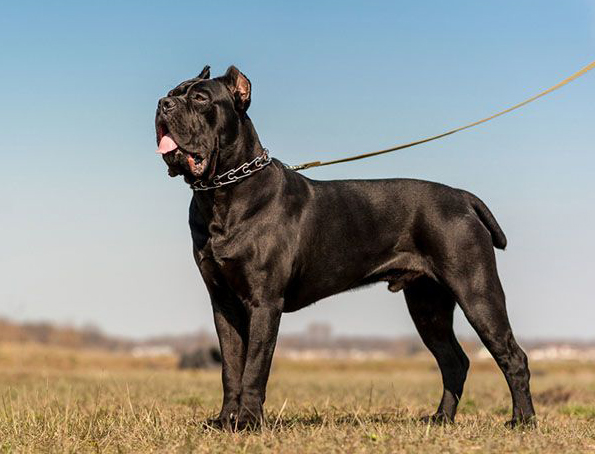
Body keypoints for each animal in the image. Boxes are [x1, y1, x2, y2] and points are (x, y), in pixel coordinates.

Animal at [156, 63, 536, 430]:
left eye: (201, 98)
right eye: (173, 91)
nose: (163, 103)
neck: (223, 192)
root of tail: (461, 196)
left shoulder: (264, 302)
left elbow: (254, 368)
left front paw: (248, 422)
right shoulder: (224, 304)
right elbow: (230, 368)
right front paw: (225, 421)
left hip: (477, 291)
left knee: (512, 356)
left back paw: (522, 420)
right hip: (428, 305)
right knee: (453, 361)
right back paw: (441, 418)